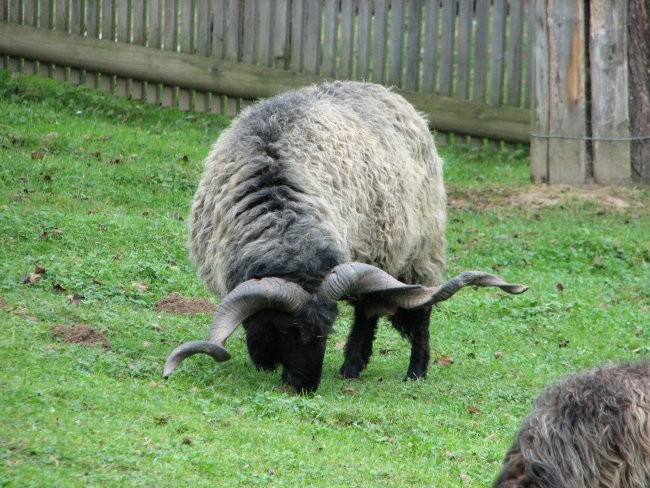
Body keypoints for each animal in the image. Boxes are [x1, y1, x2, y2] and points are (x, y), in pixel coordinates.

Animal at [163, 80, 528, 392]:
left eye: (325, 331)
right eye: (287, 329)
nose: (306, 385)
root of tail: (389, 92)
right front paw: (263, 361)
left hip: (419, 248)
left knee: (412, 311)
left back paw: (407, 372)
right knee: (370, 311)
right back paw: (352, 369)